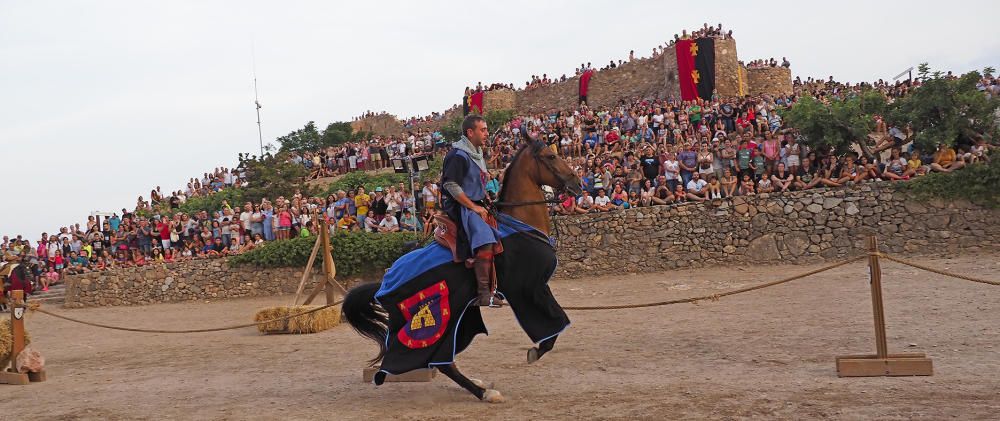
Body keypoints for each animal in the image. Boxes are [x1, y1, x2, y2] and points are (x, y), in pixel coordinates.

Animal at [344, 139, 584, 402]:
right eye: (550, 156)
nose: (577, 183)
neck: (519, 223)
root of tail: (384, 282)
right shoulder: (529, 289)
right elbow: (553, 326)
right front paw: (534, 352)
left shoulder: (532, 290)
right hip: (436, 322)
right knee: (436, 361)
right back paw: (484, 392)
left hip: (461, 316)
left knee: (441, 360)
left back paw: (479, 387)